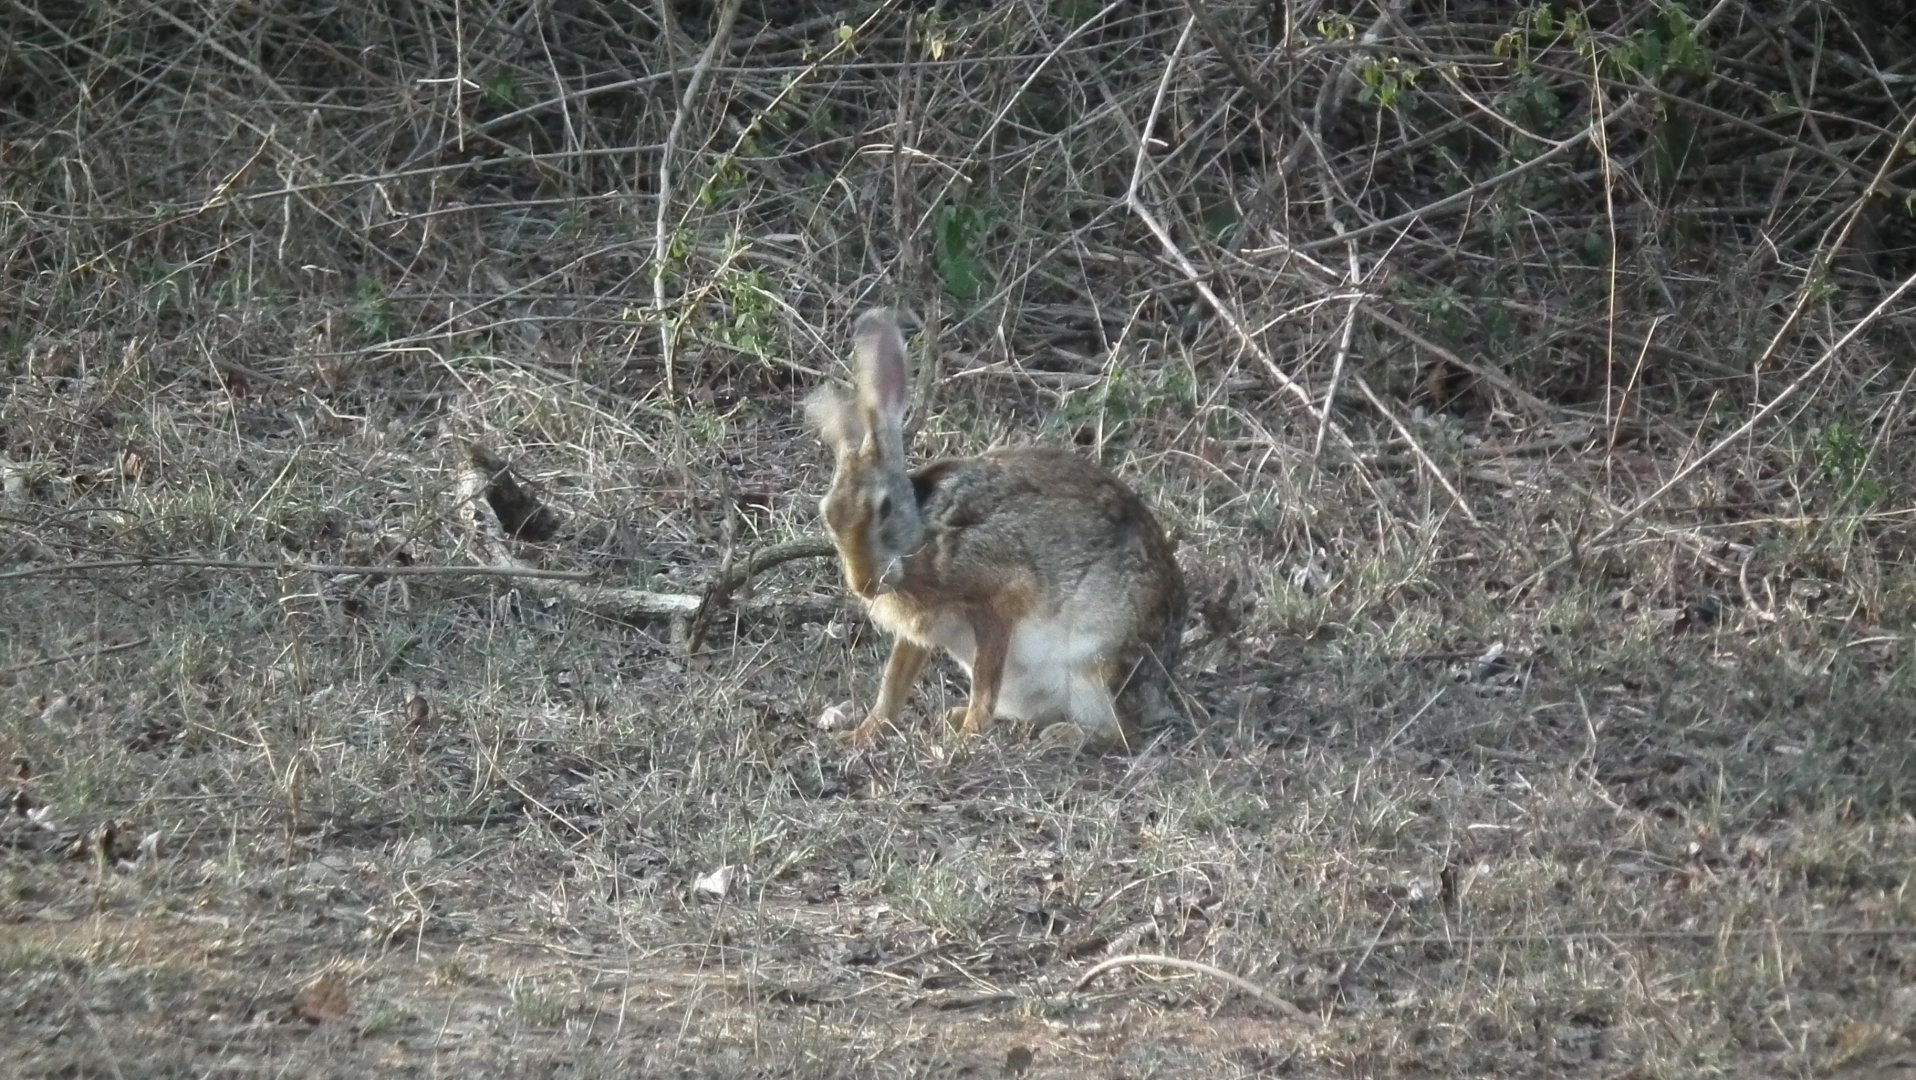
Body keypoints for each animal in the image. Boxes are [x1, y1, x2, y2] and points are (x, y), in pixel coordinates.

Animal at [805, 307, 1186, 750]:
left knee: (1121, 732)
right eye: (829, 516)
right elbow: (894, 683)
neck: (921, 536)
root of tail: (1160, 689)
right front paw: (863, 732)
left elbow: (986, 675)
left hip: (1094, 669)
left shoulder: (998, 593)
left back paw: (1061, 734)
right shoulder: (919, 632)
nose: (864, 583)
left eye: (883, 509)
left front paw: (970, 731)